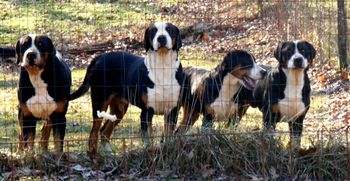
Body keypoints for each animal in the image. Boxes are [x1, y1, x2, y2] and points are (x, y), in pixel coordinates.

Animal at [68, 21, 183, 157]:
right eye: (153, 31)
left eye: (169, 30)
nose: (161, 38)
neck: (163, 66)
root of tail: (99, 57)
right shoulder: (146, 112)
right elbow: (148, 139)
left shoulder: (173, 111)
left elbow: (168, 136)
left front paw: (167, 150)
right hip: (99, 103)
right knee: (93, 133)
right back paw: (93, 155)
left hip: (120, 109)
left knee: (104, 131)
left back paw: (110, 154)